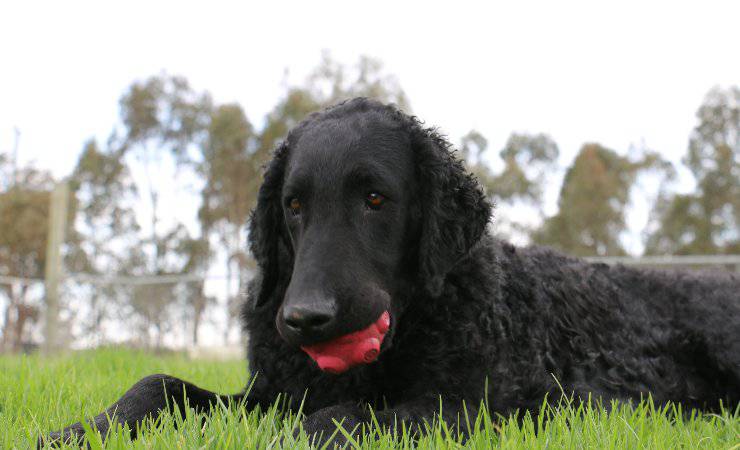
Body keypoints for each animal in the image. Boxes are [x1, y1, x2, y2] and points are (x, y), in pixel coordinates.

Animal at [47, 96, 740, 444]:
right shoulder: (271, 392)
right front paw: (82, 429)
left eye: (375, 199)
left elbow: (344, 417)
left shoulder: (490, 405)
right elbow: (158, 384)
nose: (304, 318)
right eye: (292, 205)